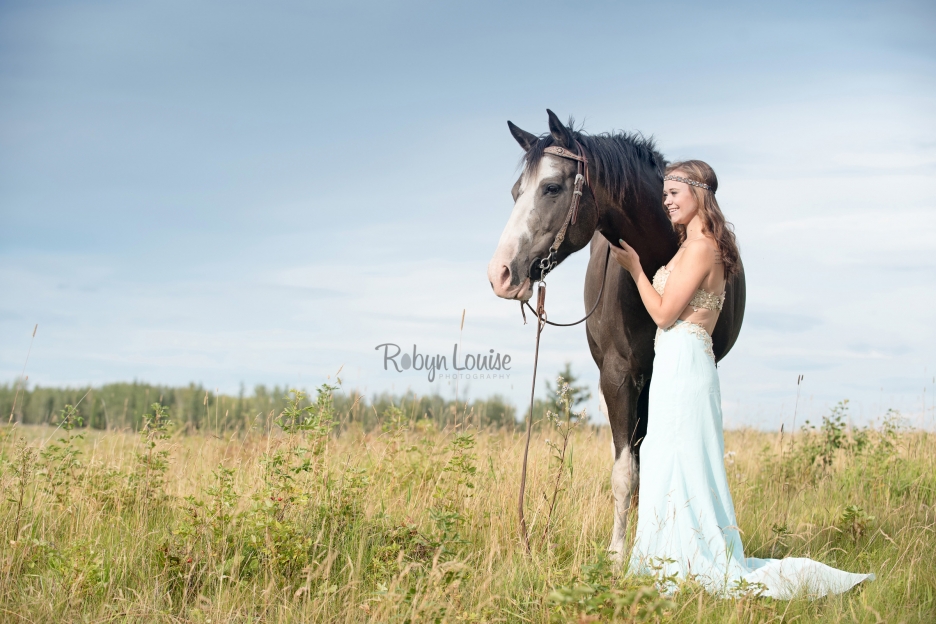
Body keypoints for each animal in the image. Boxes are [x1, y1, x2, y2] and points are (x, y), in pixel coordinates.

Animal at [486, 109, 744, 560]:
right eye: (517, 191)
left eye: (551, 188)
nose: (500, 274)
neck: (661, 253)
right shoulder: (619, 376)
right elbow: (624, 470)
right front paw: (619, 553)